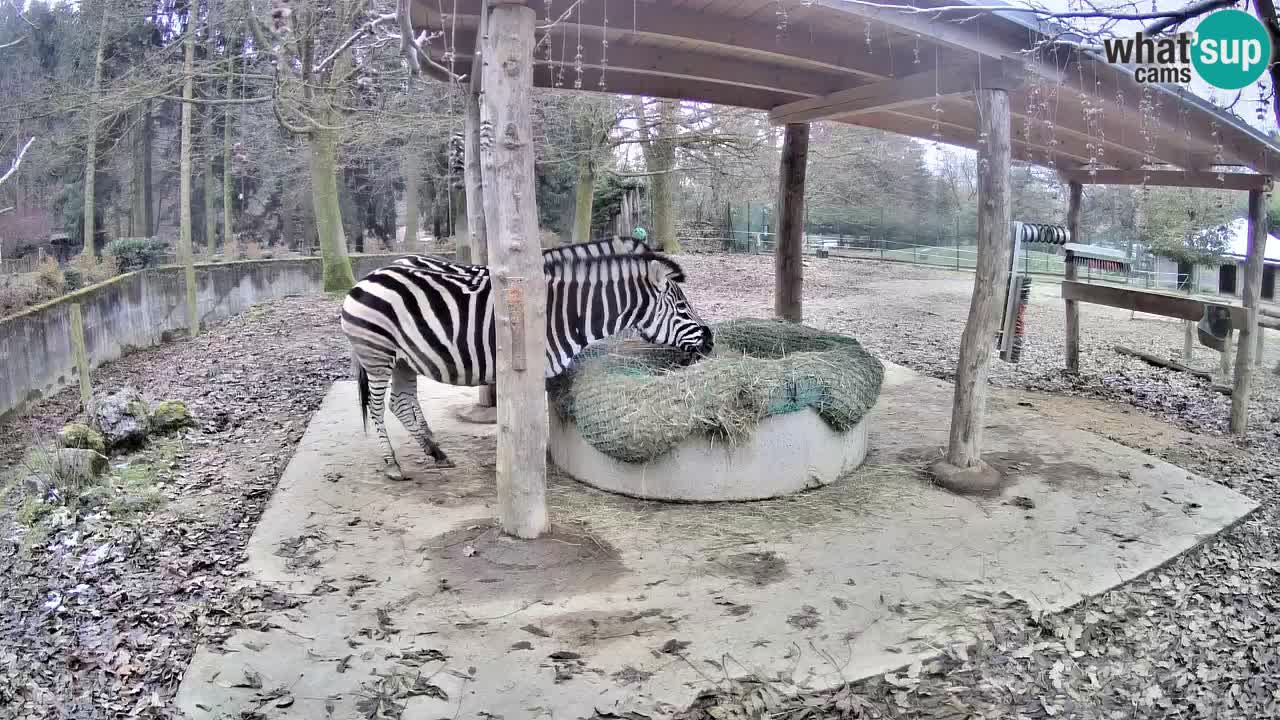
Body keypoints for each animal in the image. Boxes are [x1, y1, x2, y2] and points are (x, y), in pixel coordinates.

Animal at [337, 240, 711, 476]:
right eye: (681, 307)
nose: (709, 342)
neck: (565, 311)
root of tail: (369, 276)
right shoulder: (535, 367)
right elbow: (536, 417)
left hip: (403, 359)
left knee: (401, 402)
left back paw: (436, 452)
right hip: (377, 354)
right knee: (376, 407)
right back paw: (392, 464)